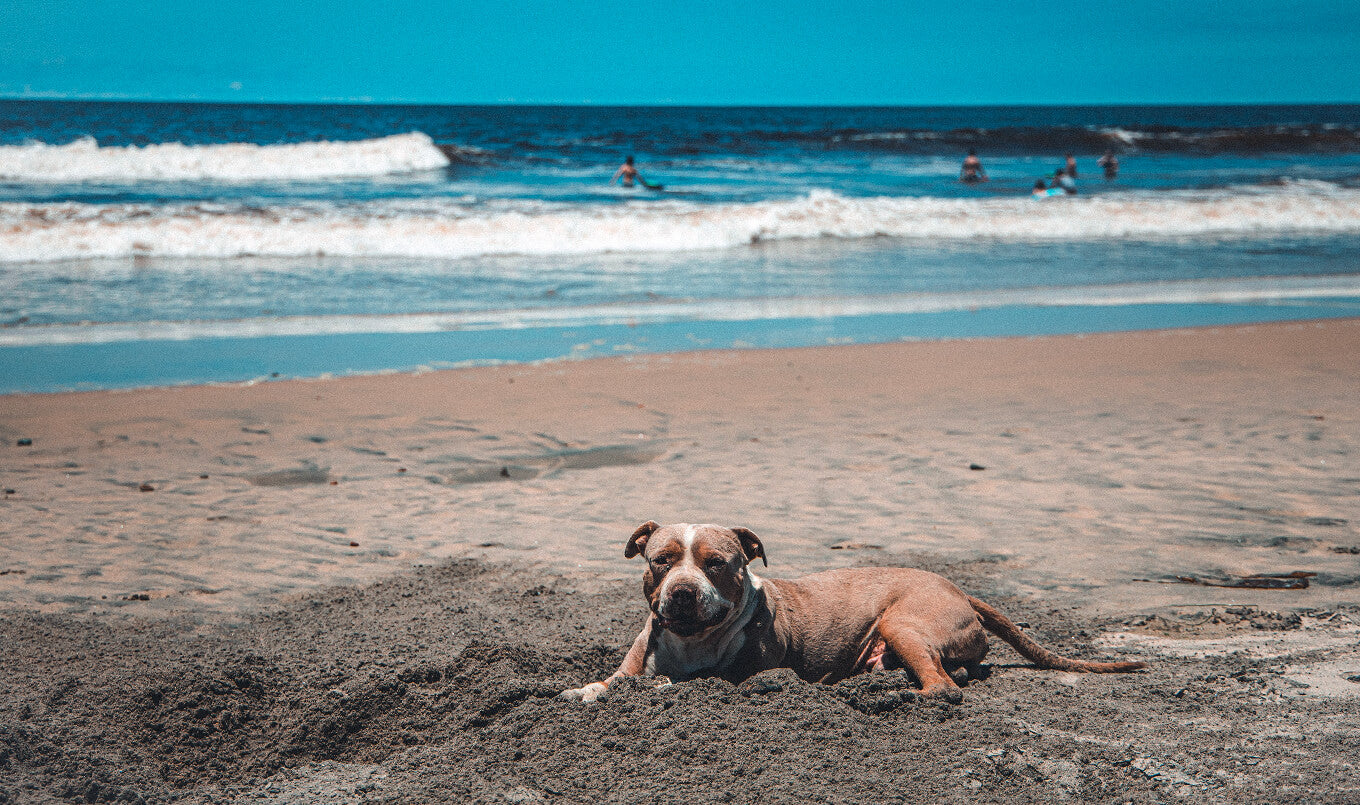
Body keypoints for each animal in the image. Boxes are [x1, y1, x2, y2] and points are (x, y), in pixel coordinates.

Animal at [563, 522, 1147, 707]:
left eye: (717, 564)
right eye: (660, 560)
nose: (683, 592)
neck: (692, 639)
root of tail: (956, 586)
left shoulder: (749, 672)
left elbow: (695, 681)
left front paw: (666, 687)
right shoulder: (639, 656)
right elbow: (613, 681)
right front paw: (582, 690)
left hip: (903, 622)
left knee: (943, 684)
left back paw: (899, 695)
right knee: (957, 672)